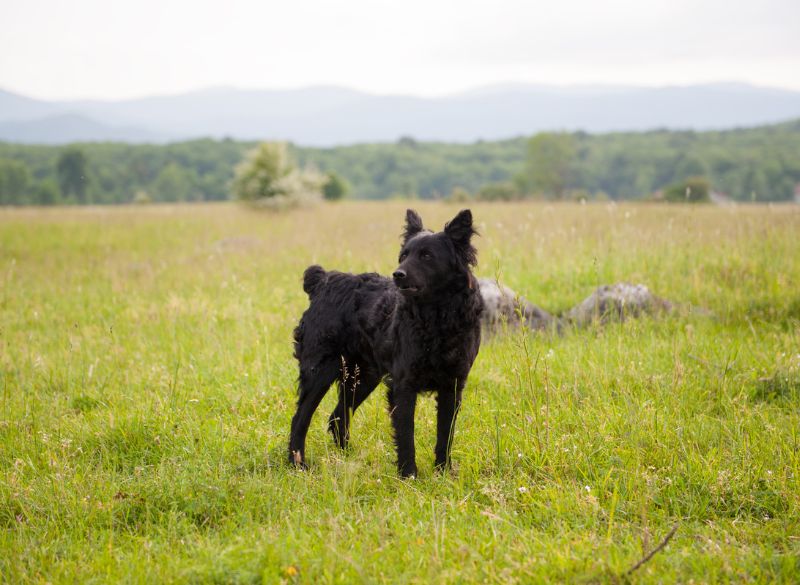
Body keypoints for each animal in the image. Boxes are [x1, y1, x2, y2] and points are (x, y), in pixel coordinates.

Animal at [290, 208, 484, 476]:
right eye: (404, 255)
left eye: (427, 256)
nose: (397, 274)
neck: (436, 317)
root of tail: (323, 281)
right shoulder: (403, 384)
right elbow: (406, 434)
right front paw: (409, 474)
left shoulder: (453, 385)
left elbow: (445, 435)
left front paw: (443, 473)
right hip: (320, 370)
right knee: (300, 418)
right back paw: (297, 464)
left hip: (363, 376)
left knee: (337, 417)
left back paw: (348, 459)